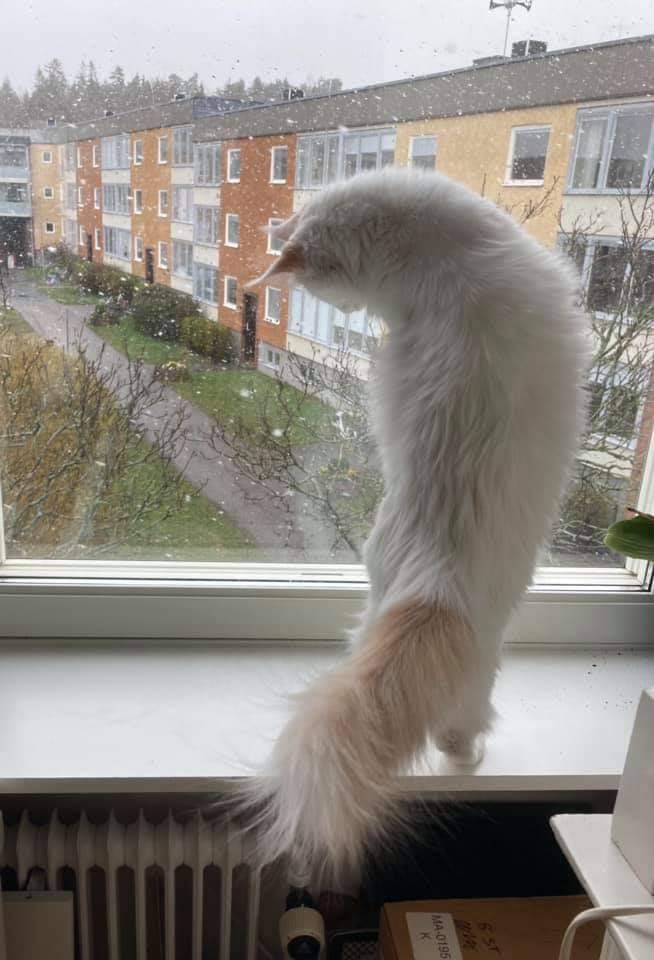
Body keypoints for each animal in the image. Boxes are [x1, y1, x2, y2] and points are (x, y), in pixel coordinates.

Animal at [244, 167, 589, 886]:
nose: (340, 312)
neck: (439, 254)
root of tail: (436, 581)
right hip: (483, 667)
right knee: (457, 730)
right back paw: (471, 756)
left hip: (381, 602)